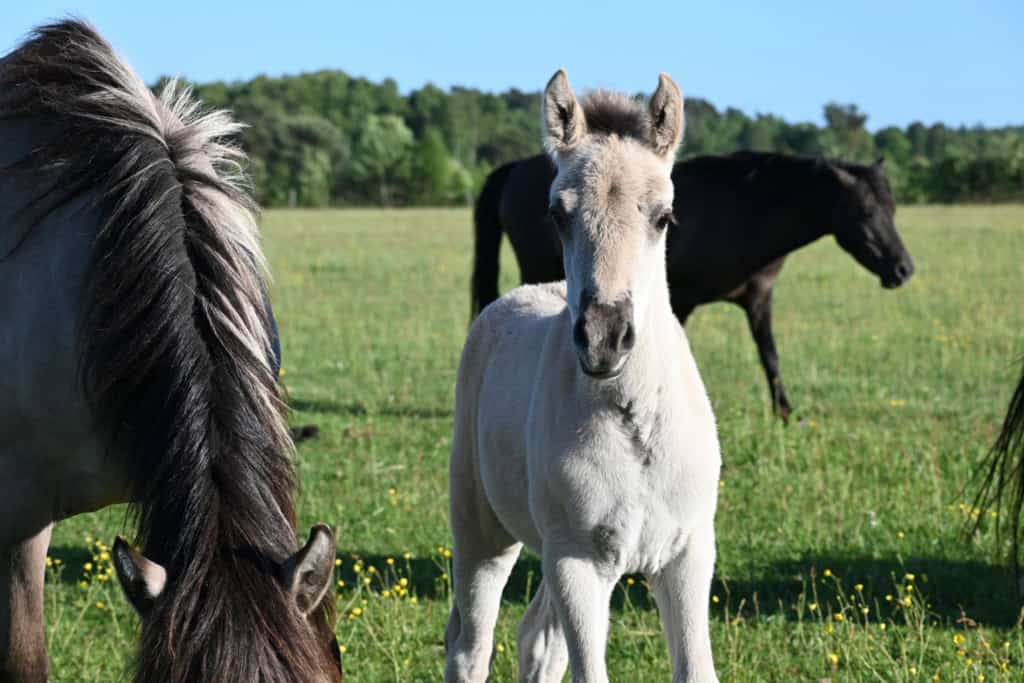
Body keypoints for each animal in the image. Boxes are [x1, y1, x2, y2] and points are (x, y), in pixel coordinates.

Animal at [447, 71, 720, 683]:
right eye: (558, 215)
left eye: (663, 217)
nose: (603, 337)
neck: (635, 424)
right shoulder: (578, 560)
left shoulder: (688, 552)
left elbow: (695, 669)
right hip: (483, 530)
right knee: (470, 645)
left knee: (537, 640)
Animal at [472, 150, 915, 421]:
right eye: (865, 212)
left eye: (893, 209)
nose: (903, 269)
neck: (743, 209)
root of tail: (515, 168)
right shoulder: (680, 301)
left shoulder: (758, 299)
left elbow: (770, 356)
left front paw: (785, 413)